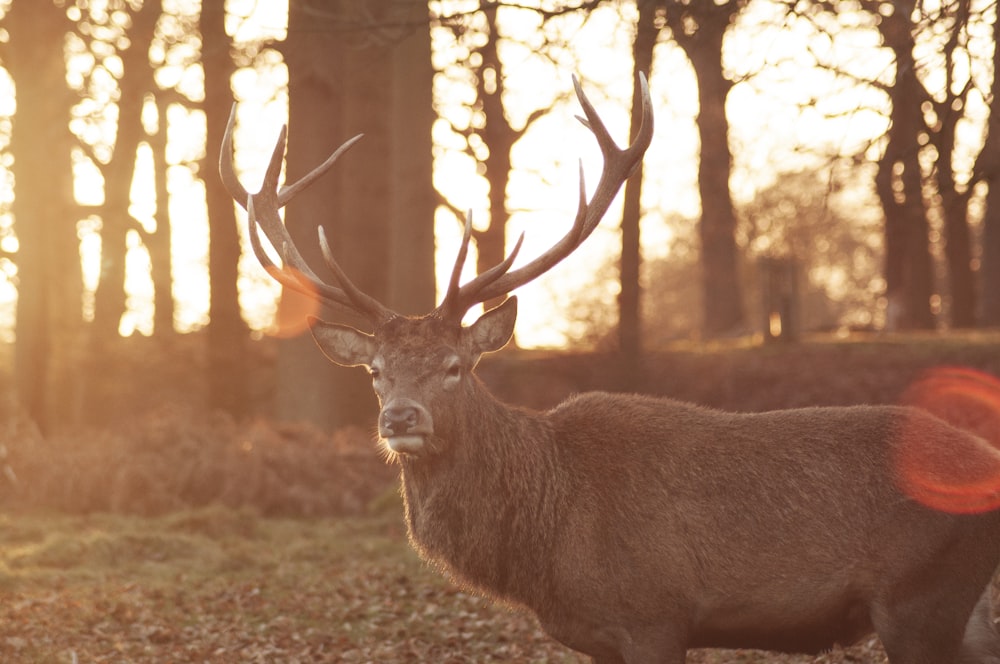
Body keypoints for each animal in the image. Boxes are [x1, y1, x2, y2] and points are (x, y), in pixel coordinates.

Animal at [221, 78, 1000, 664]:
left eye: (454, 366)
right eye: (376, 371)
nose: (400, 418)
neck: (546, 544)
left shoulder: (655, 614)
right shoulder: (599, 635)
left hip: (920, 597)